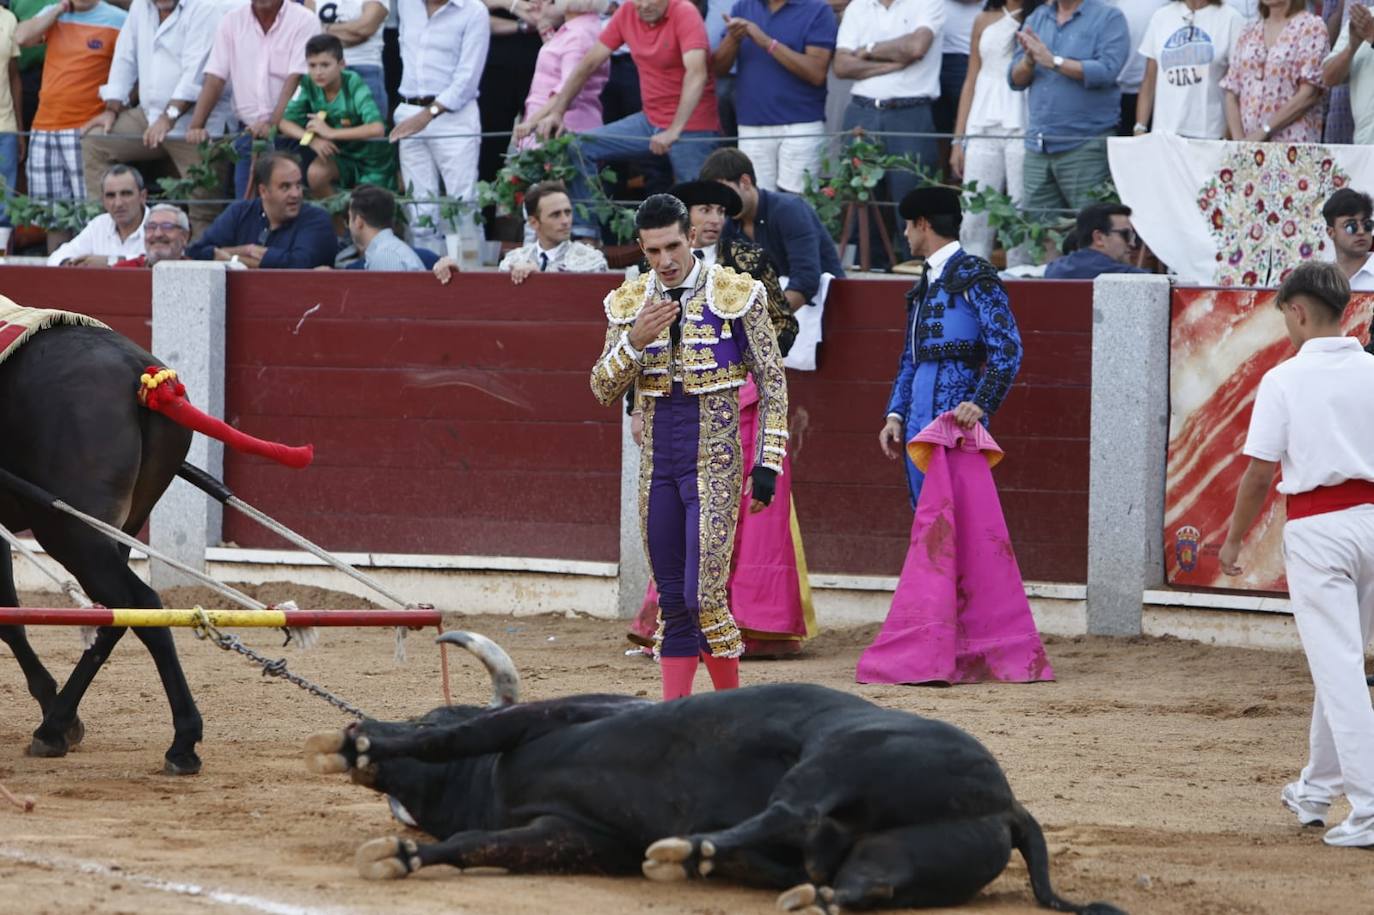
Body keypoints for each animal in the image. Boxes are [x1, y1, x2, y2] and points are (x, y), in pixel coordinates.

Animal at [0, 320, 201, 769]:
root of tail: (139, 373)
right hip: (120, 527)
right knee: (119, 612)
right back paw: (57, 724)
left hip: (71, 531)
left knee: (139, 602)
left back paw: (182, 741)